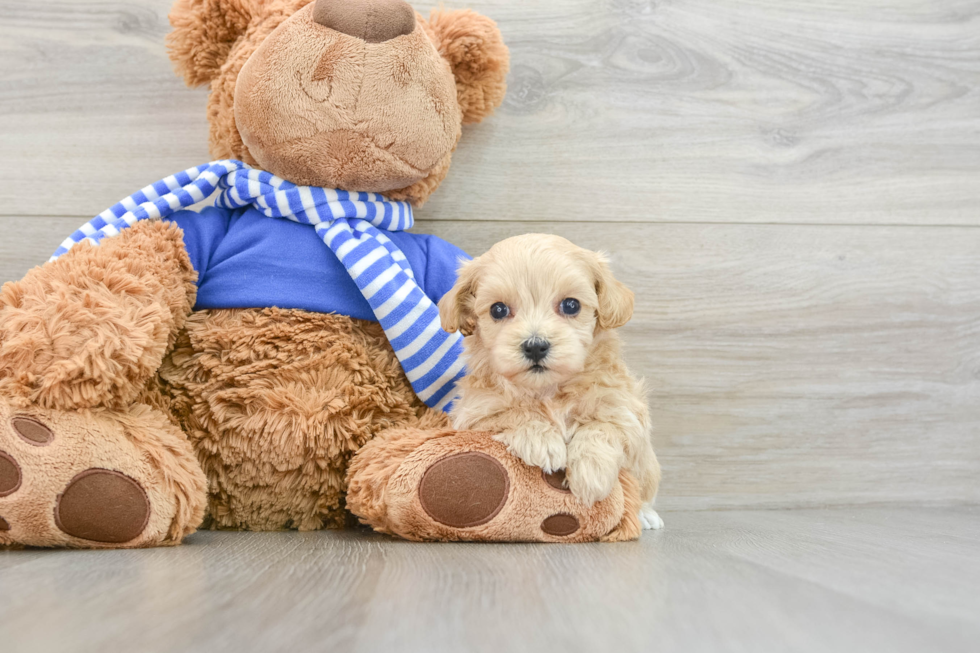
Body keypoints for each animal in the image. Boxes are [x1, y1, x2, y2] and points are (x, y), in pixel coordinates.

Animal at [440, 232, 664, 528]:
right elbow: (512, 412)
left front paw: (592, 473)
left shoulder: (625, 412)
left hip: (648, 469)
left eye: (571, 305)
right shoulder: (475, 413)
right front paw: (541, 441)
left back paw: (645, 514)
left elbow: (602, 427)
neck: (548, 390)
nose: (535, 346)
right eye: (498, 310)